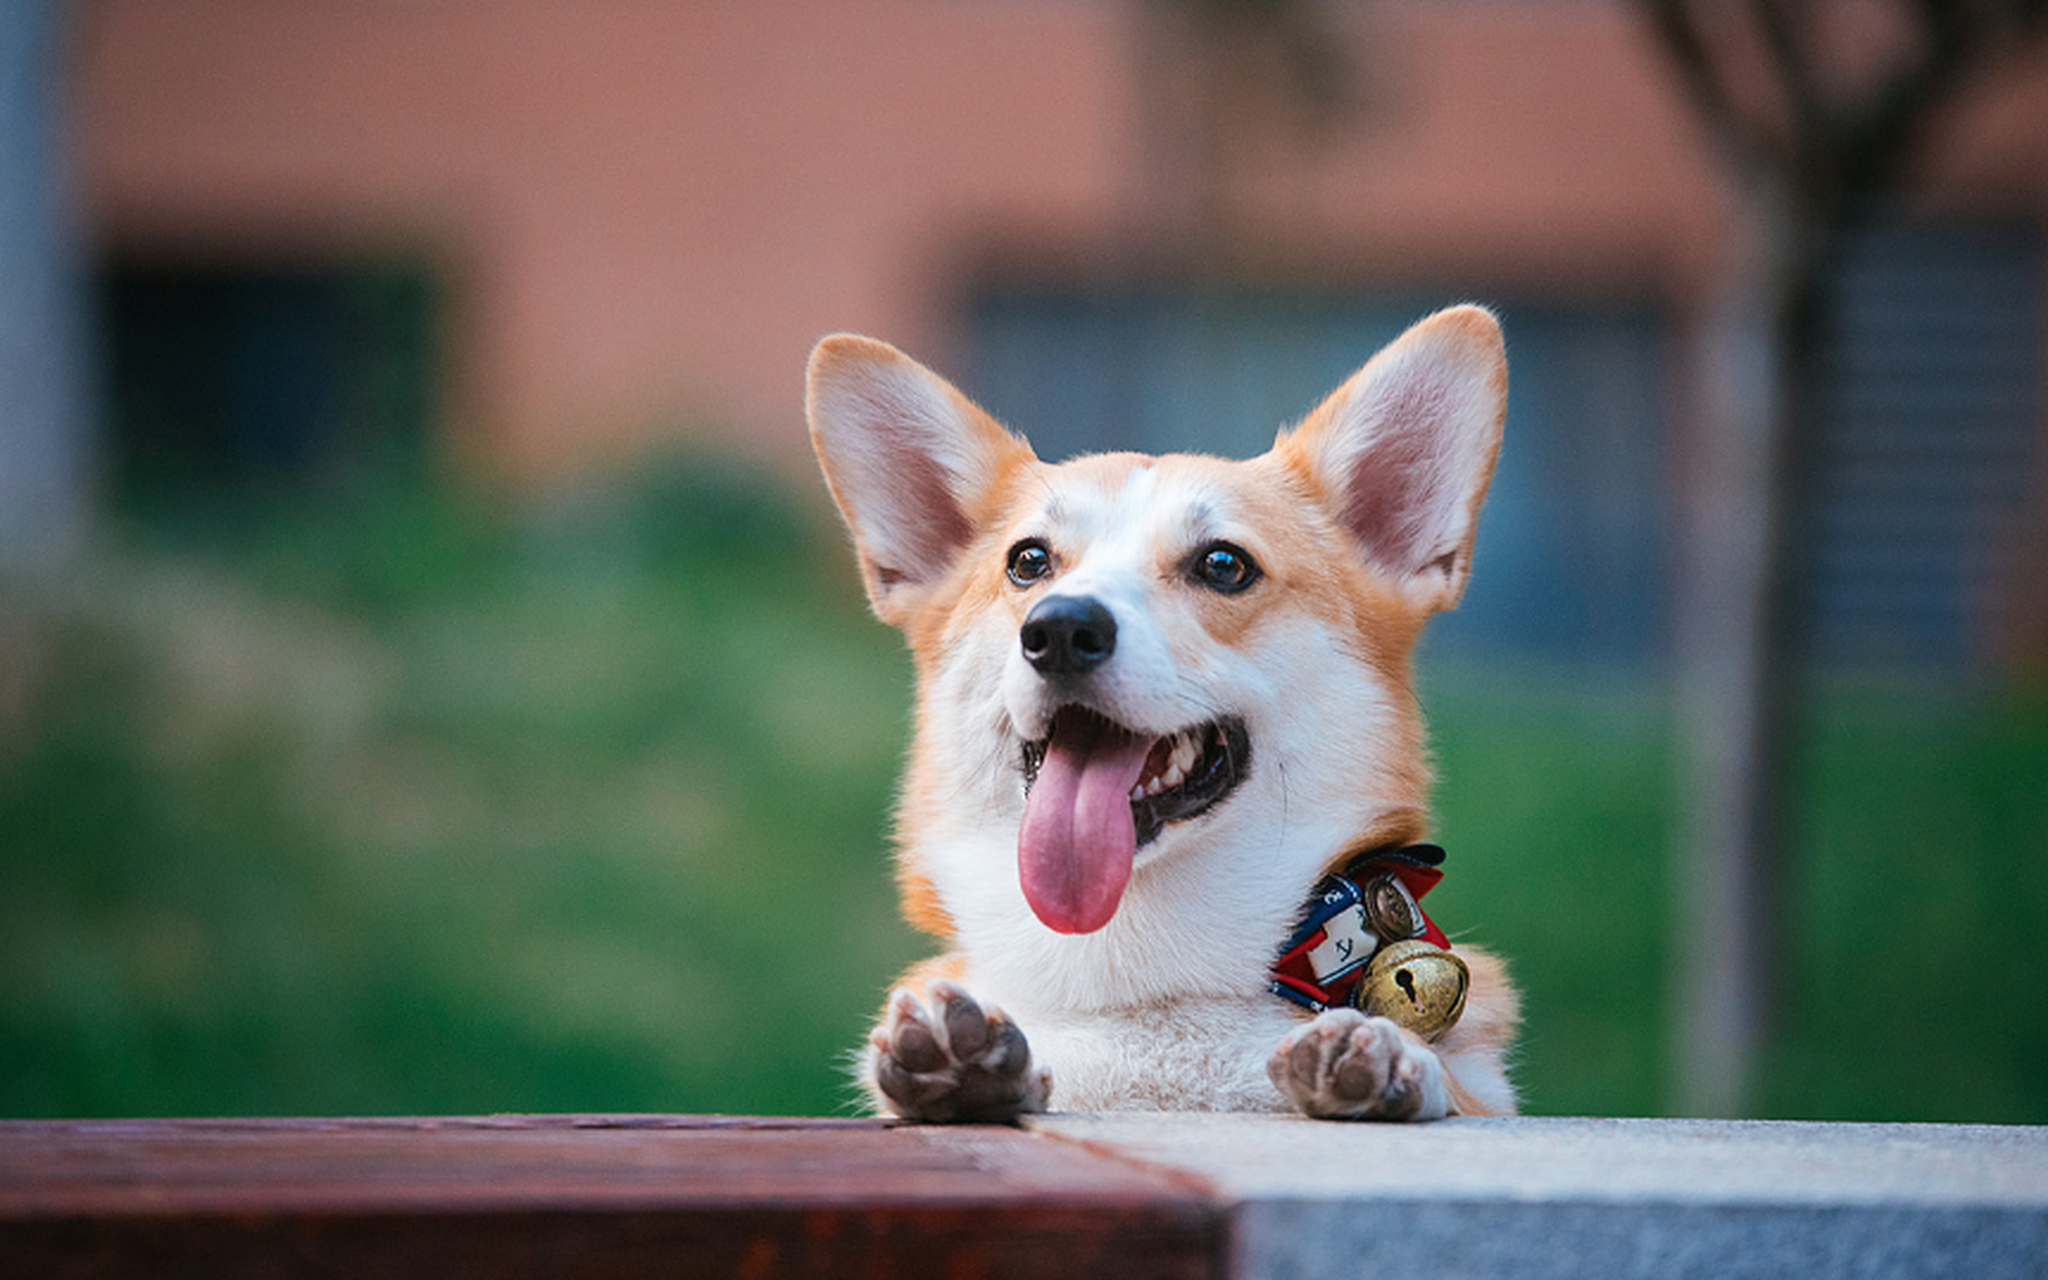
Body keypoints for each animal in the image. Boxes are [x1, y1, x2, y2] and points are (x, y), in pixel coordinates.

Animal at [798, 301, 1523, 1114]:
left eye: (1224, 564)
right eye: (1028, 561)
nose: (1060, 630)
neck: (1143, 989)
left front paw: (1390, 1059)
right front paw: (964, 1073)